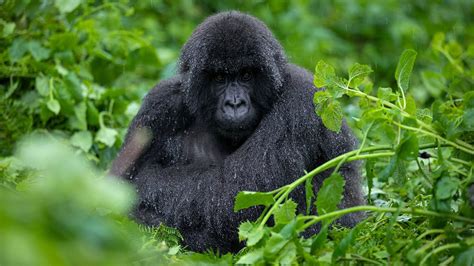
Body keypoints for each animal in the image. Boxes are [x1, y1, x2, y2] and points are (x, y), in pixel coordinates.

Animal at [110, 11, 362, 252]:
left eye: (246, 75)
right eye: (220, 77)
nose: (234, 104)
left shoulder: (301, 100)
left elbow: (235, 192)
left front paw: (144, 190)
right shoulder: (159, 105)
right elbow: (117, 184)